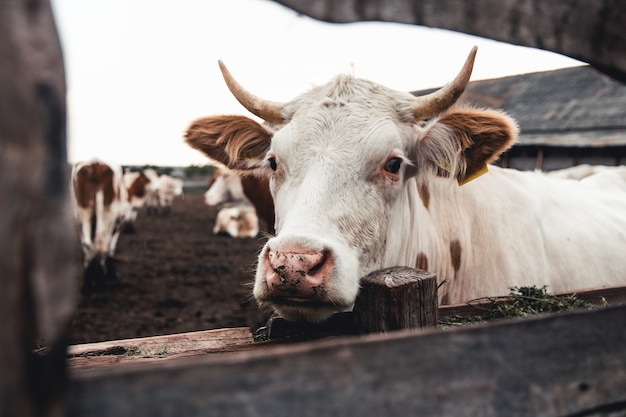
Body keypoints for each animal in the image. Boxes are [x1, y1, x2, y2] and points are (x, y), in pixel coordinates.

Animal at [70, 158, 128, 290]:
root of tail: (95, 163)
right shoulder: (117, 225)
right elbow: (110, 248)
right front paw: (111, 274)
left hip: (83, 212)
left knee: (88, 244)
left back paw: (87, 283)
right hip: (107, 215)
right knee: (102, 244)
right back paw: (100, 281)